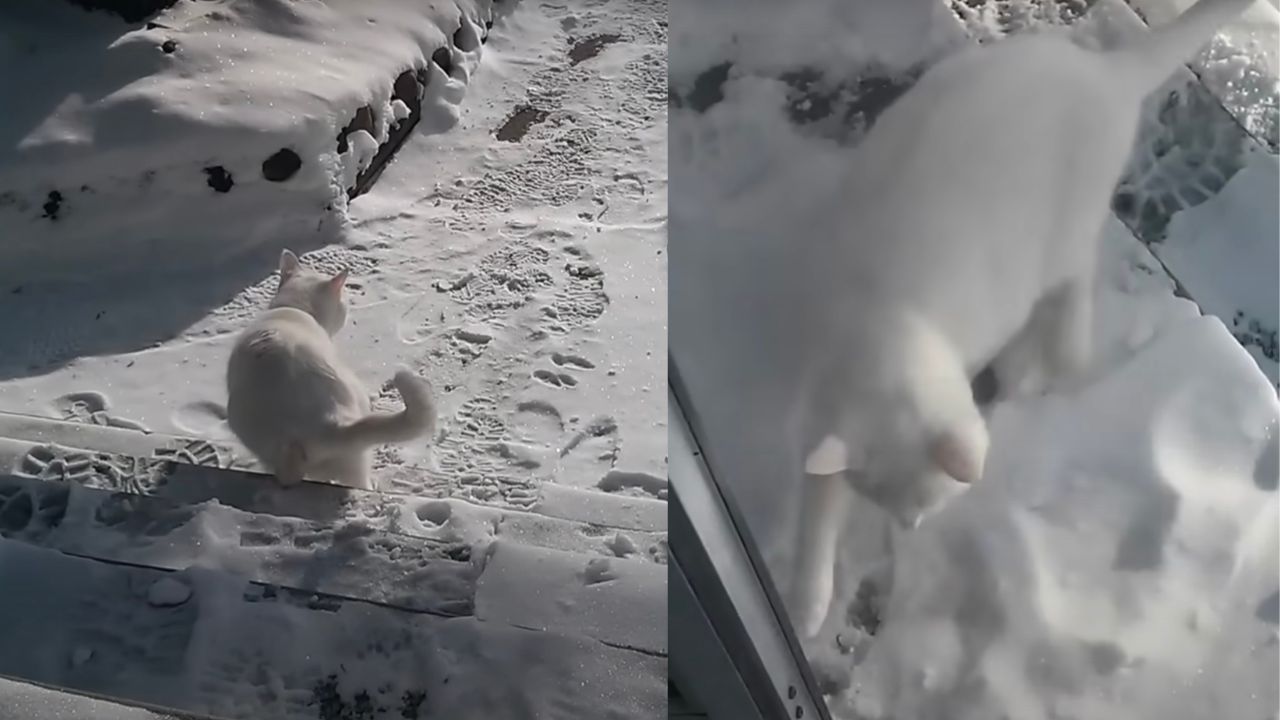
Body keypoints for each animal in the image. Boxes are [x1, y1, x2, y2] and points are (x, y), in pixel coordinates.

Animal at [783, 0, 1254, 632]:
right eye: (892, 505)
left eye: (926, 505)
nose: (910, 527)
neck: (880, 317)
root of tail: (1102, 74)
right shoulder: (825, 420)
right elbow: (816, 516)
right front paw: (808, 605)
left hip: (1066, 238)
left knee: (1072, 289)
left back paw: (1066, 356)